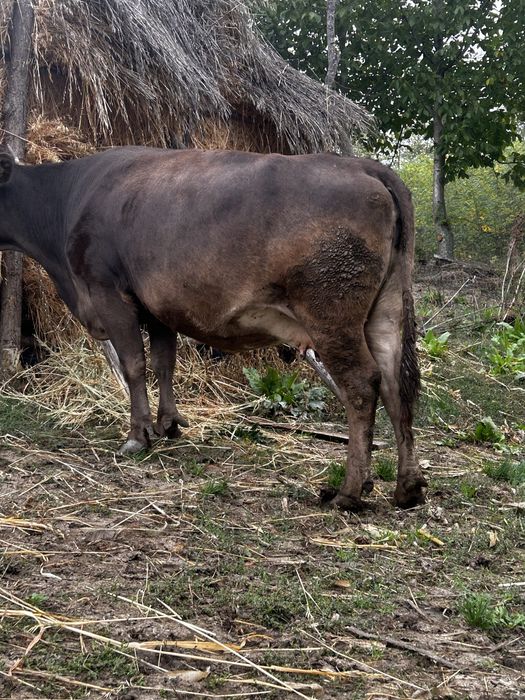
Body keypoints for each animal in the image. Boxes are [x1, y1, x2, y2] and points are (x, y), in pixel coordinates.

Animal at [0, 145, 427, 510]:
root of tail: (364, 166)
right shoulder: (157, 308)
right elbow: (164, 363)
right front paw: (169, 425)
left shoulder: (109, 293)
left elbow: (134, 366)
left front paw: (138, 436)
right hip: (387, 308)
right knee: (396, 384)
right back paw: (408, 487)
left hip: (331, 315)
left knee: (363, 384)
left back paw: (349, 491)